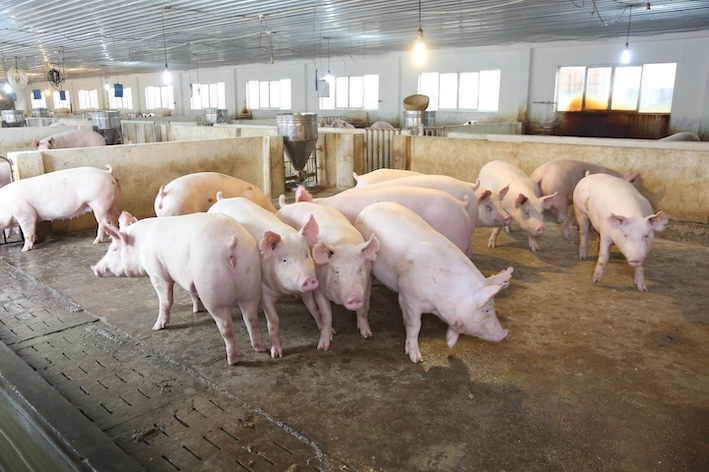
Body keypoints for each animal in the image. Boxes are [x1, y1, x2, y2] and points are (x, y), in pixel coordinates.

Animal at [91, 211, 263, 365]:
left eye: (114, 249)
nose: (94, 268)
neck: (139, 246)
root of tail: (230, 242)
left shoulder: (157, 273)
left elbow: (165, 300)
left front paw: (157, 327)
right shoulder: (188, 278)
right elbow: (192, 292)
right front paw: (196, 310)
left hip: (212, 285)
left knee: (226, 326)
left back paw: (232, 360)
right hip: (251, 280)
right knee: (251, 318)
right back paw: (259, 348)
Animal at [208, 196, 323, 356]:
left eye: (306, 254)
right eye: (284, 260)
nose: (309, 279)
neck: (283, 291)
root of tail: (222, 199)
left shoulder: (303, 290)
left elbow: (313, 308)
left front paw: (330, 330)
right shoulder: (264, 292)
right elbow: (273, 322)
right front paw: (277, 354)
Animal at [277, 192, 380, 338]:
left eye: (359, 270)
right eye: (337, 271)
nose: (354, 297)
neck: (344, 243)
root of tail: (287, 205)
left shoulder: (367, 283)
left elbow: (363, 310)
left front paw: (367, 335)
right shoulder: (318, 286)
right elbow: (326, 314)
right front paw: (325, 341)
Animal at [354, 201, 513, 363]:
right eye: (486, 309)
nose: (504, 332)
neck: (438, 304)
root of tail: (374, 205)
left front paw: (449, 343)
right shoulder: (409, 297)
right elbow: (415, 326)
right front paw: (417, 359)